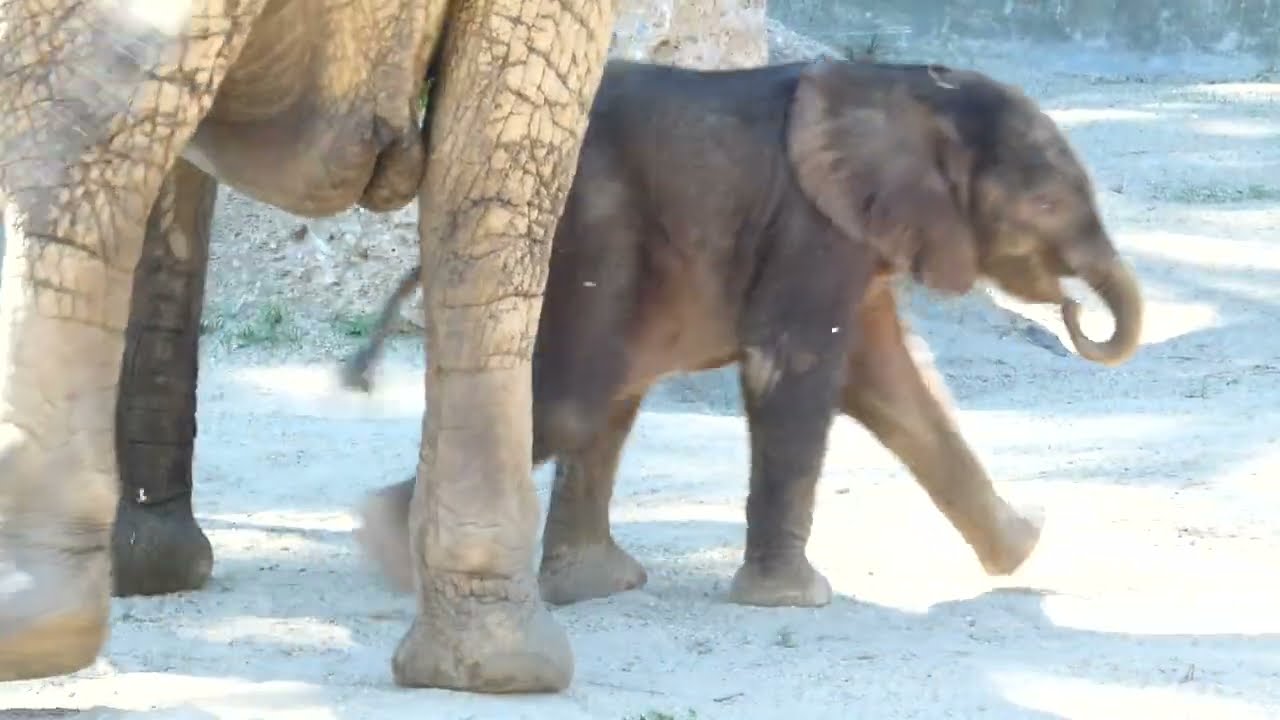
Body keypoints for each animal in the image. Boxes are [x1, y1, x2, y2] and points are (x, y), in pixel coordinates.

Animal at [341, 58, 1145, 608]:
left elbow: (892, 383)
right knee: (576, 400)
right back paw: (392, 550)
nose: (1073, 308)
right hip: (586, 223)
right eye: (1045, 205)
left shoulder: (857, 234)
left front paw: (1027, 544)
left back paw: (591, 585)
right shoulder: (809, 223)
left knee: (603, 400)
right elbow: (796, 366)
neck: (914, 92)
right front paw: (796, 600)